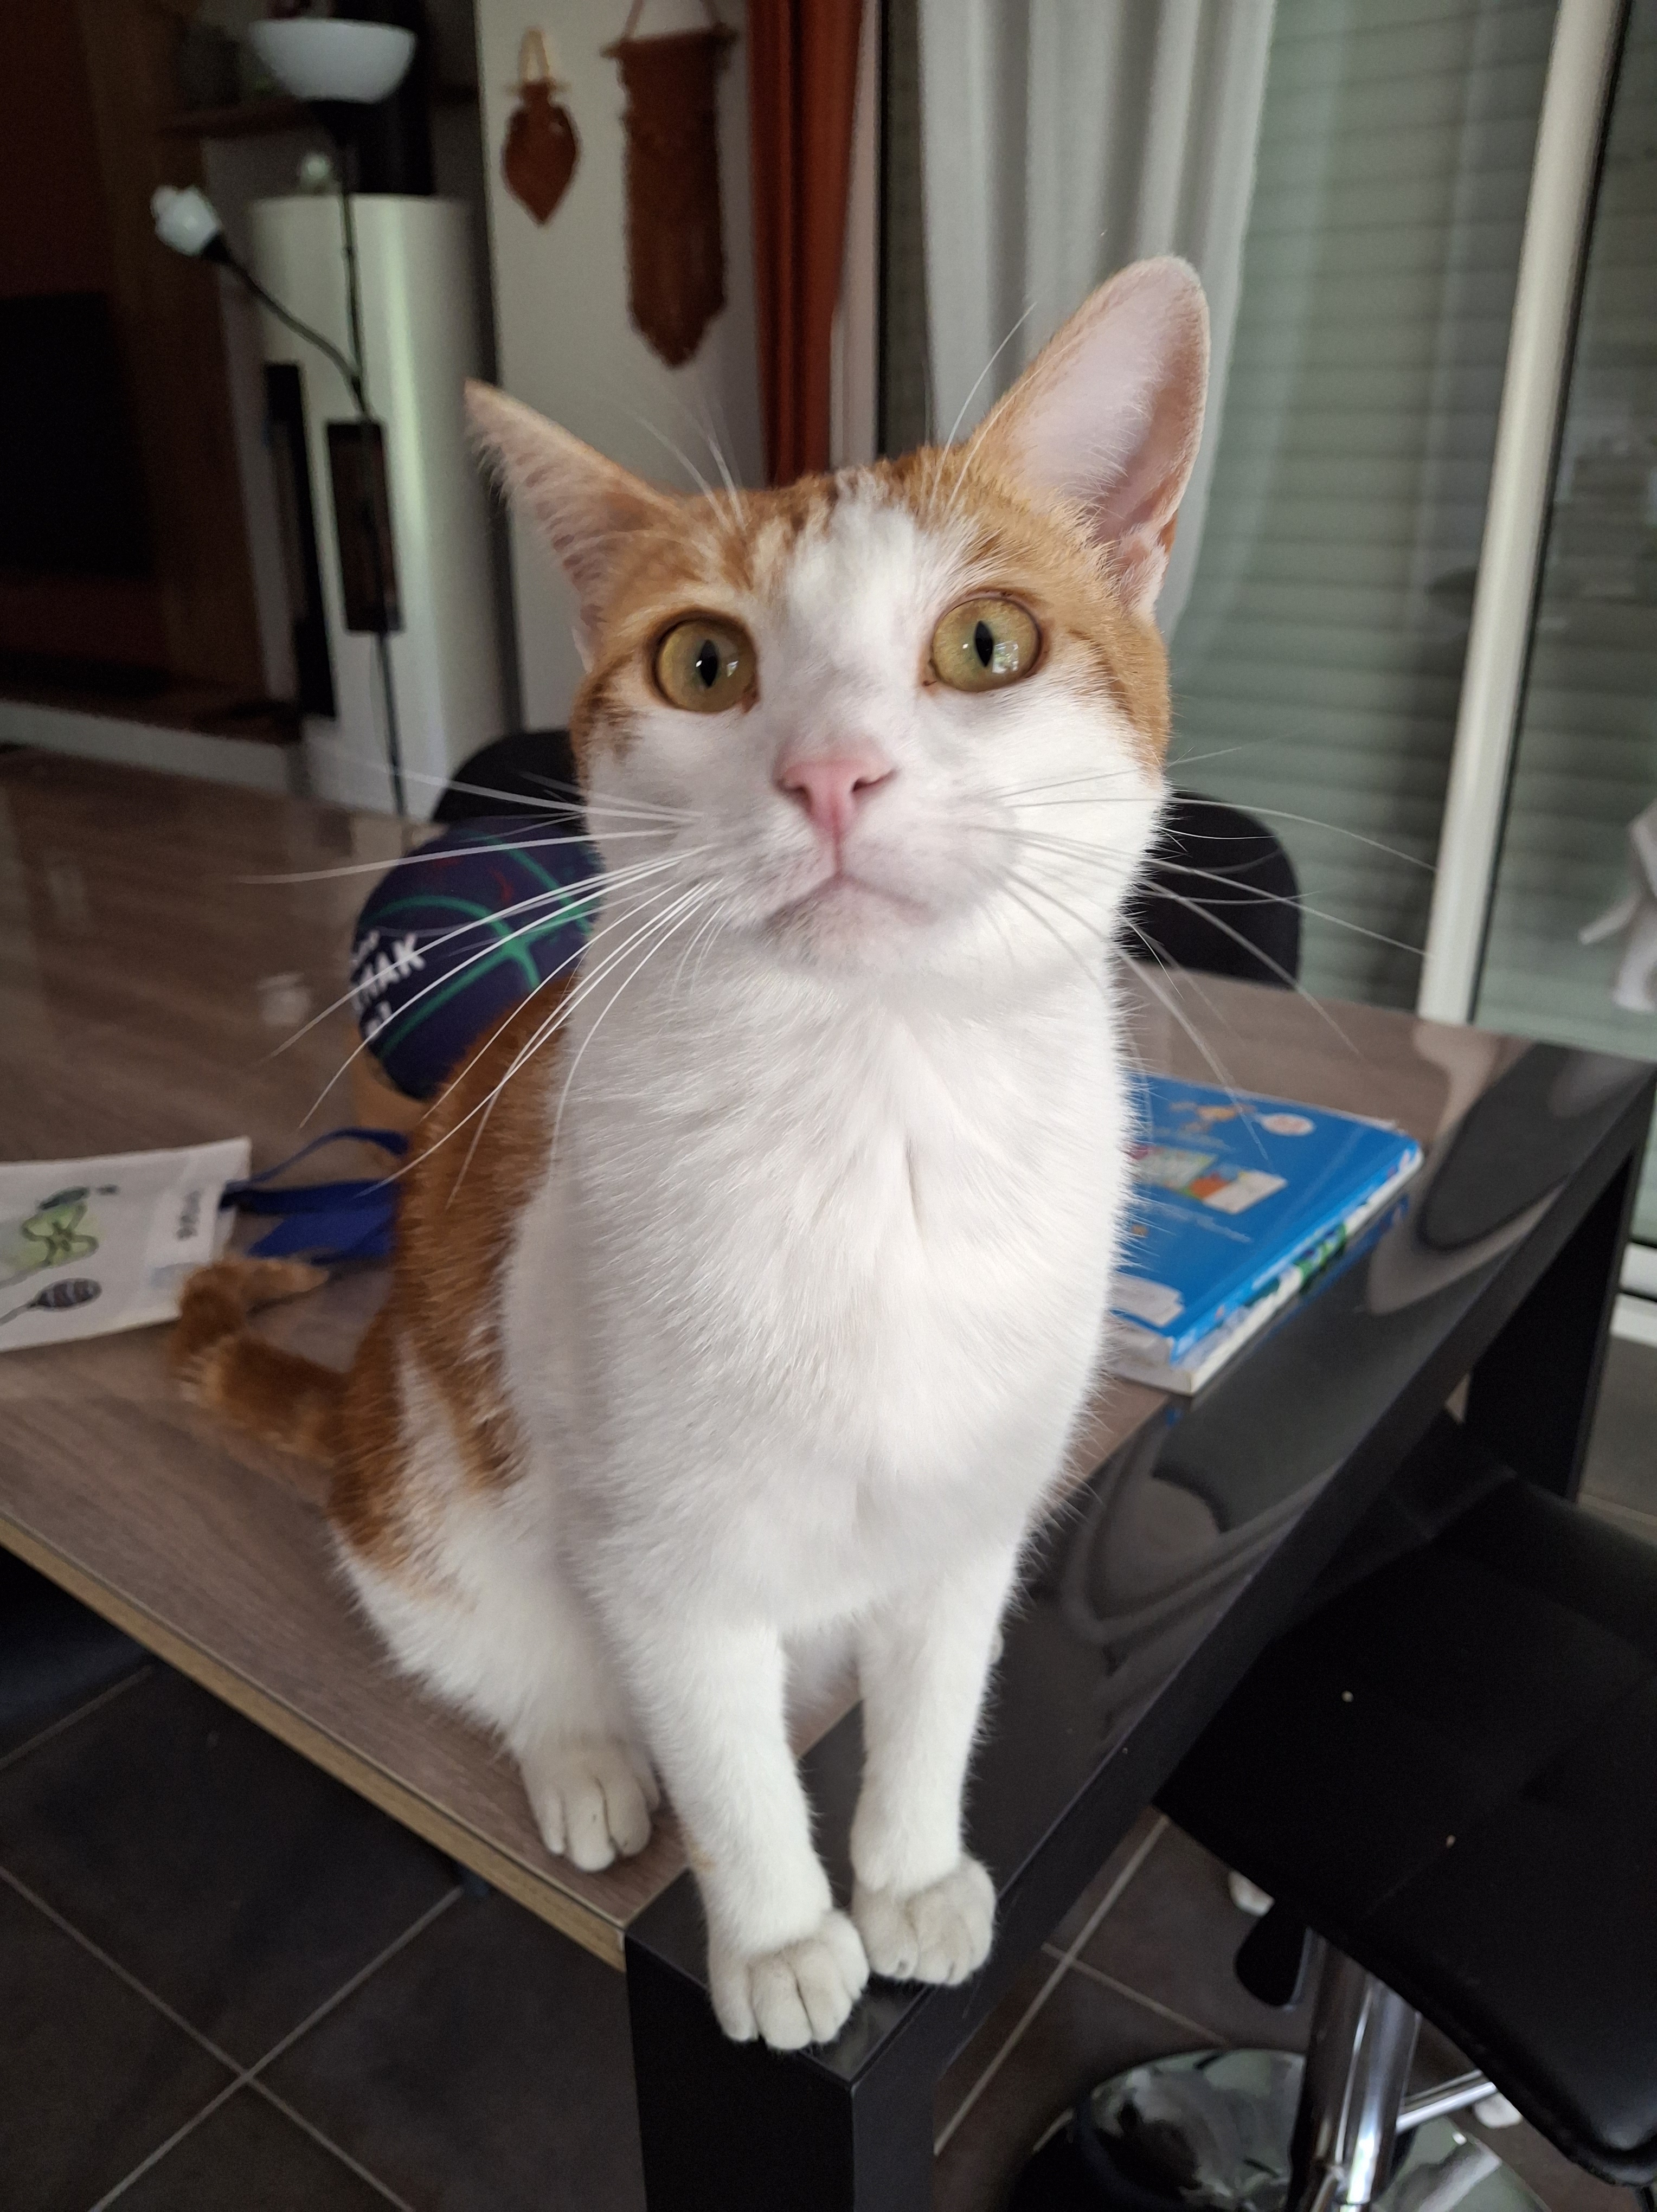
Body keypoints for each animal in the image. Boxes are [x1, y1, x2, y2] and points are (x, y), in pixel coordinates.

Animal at [172, 257, 1208, 2053]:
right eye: (706, 664)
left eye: (985, 642)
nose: (832, 772)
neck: (876, 1122)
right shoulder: (659, 1562)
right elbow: (724, 1768)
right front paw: (785, 1936)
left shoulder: (971, 1519)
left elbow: (934, 1701)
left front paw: (907, 1873)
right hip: (429, 1498)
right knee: (509, 1656)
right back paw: (587, 1758)